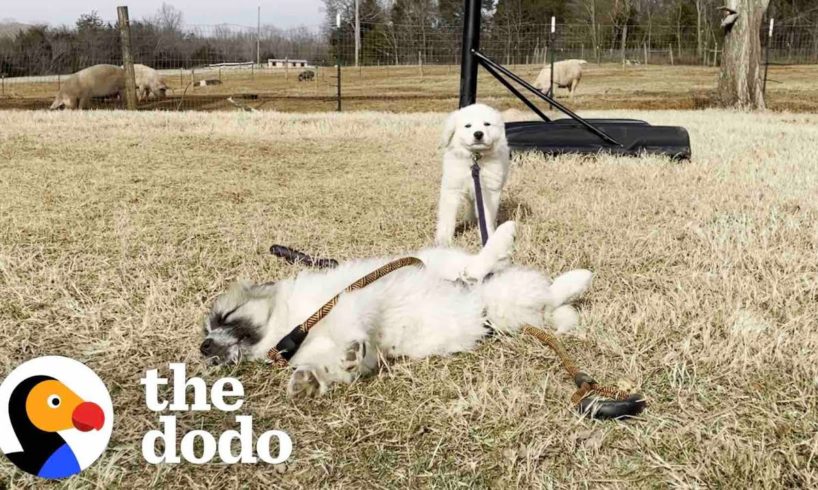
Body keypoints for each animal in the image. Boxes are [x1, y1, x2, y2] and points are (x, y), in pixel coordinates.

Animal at [434, 105, 510, 247]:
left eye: (487, 124)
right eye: (468, 126)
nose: (478, 134)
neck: (475, 158)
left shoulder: (488, 191)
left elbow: (486, 216)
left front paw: (488, 237)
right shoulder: (452, 189)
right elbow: (447, 218)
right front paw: (443, 240)